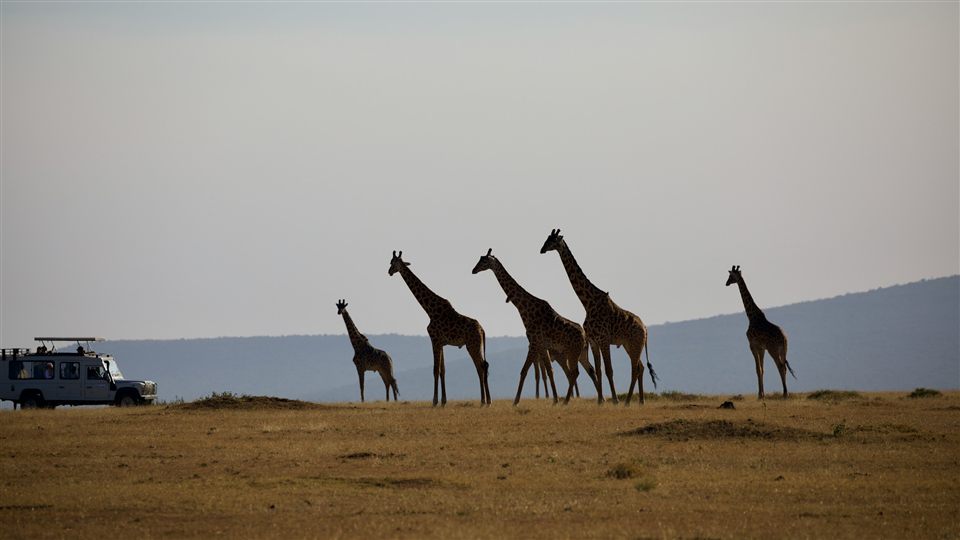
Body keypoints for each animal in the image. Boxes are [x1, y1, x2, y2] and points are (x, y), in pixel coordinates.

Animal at [388, 251, 491, 406]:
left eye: (393, 263)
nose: (389, 272)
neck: (429, 309)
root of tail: (482, 330)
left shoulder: (434, 339)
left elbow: (435, 370)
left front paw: (435, 401)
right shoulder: (441, 343)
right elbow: (443, 370)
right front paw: (443, 401)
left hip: (472, 345)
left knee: (481, 367)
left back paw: (484, 401)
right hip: (476, 345)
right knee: (484, 366)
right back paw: (487, 400)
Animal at [472, 249, 600, 405]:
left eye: (484, 261)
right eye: (479, 258)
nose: (473, 270)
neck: (524, 308)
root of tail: (585, 337)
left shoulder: (534, 343)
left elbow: (524, 371)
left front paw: (516, 401)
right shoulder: (541, 345)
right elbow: (549, 371)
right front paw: (555, 399)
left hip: (572, 352)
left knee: (575, 373)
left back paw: (568, 400)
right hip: (580, 353)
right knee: (589, 370)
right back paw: (600, 399)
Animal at [540, 229, 659, 405]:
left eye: (553, 240)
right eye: (547, 239)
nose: (541, 249)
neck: (587, 303)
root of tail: (645, 329)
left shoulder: (603, 339)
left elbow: (609, 370)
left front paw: (615, 400)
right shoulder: (593, 341)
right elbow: (598, 370)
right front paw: (600, 400)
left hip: (635, 344)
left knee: (635, 368)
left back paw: (627, 401)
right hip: (629, 345)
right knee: (641, 367)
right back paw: (640, 400)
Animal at [725, 265, 796, 399]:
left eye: (731, 276)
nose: (726, 283)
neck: (751, 317)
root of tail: (784, 338)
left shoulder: (753, 345)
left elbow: (758, 369)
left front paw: (759, 395)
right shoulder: (761, 348)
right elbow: (762, 370)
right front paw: (762, 394)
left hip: (773, 349)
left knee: (780, 366)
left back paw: (785, 393)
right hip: (784, 349)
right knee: (784, 366)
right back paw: (786, 393)